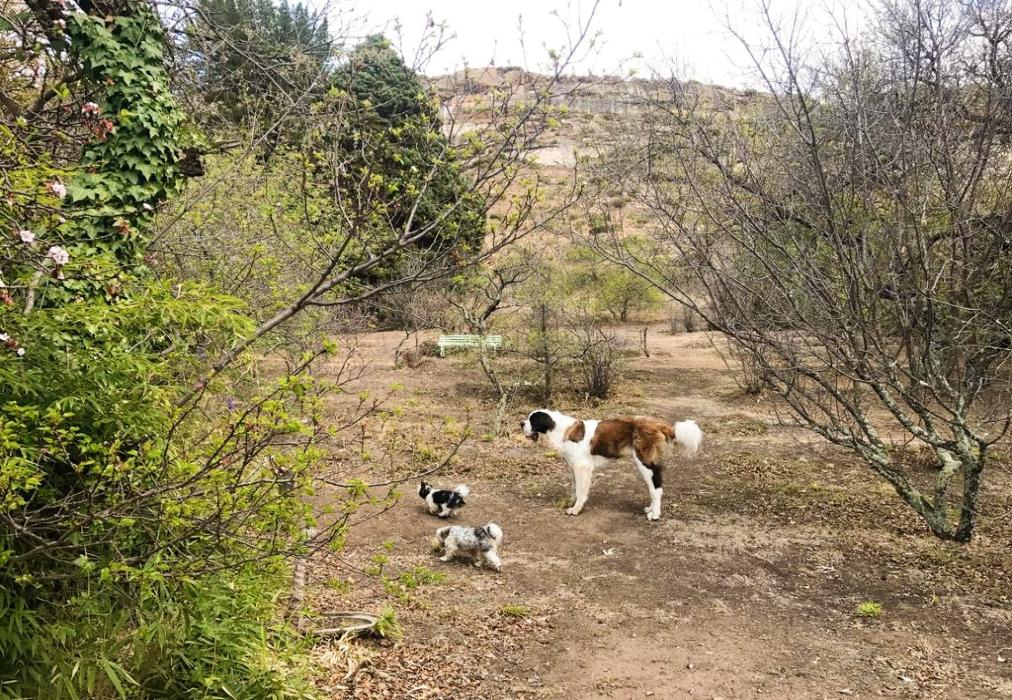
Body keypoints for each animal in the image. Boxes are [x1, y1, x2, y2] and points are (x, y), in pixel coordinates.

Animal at [522, 410, 702, 520]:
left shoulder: (582, 468)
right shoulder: (574, 467)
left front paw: (576, 509)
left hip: (645, 463)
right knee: (654, 488)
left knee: (656, 489)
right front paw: (571, 502)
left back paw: (655, 514)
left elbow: (581, 491)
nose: (521, 423)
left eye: (532, 420)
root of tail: (659, 424)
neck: (560, 429)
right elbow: (574, 487)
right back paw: (650, 509)